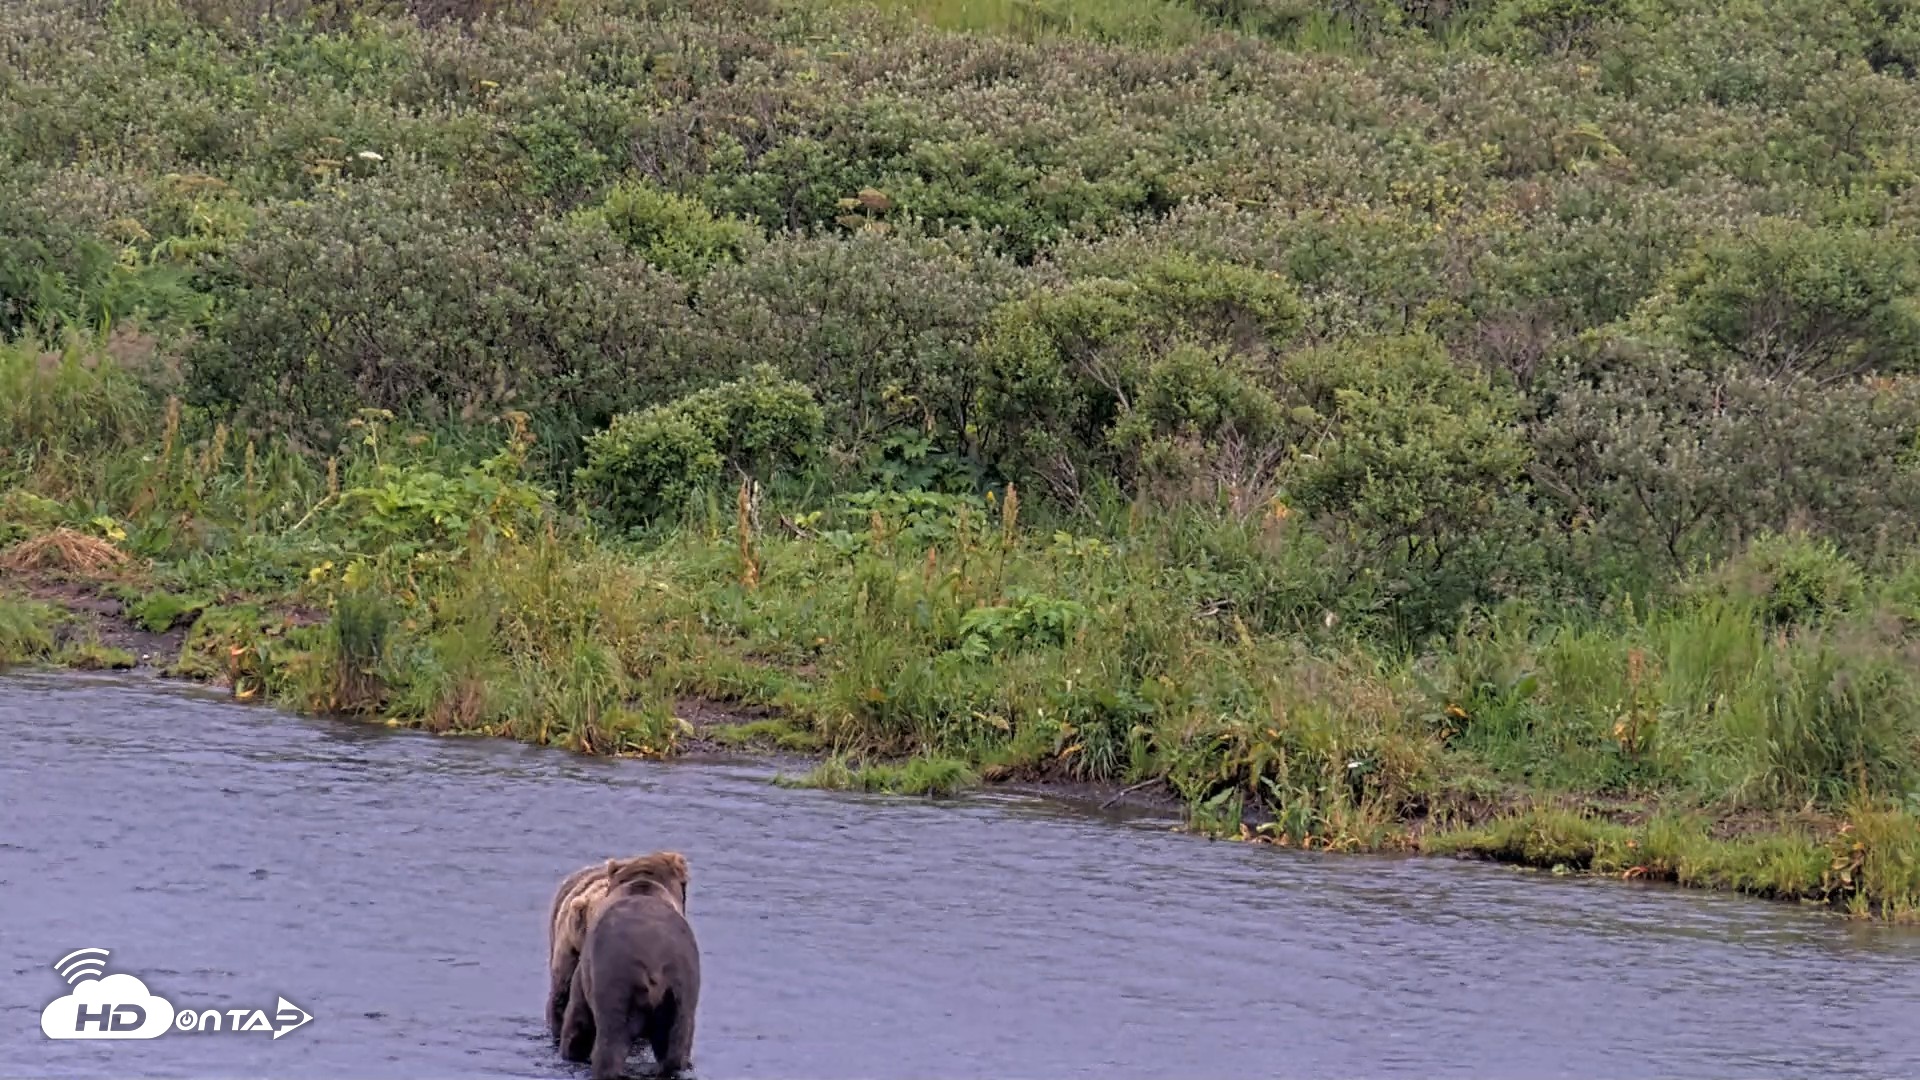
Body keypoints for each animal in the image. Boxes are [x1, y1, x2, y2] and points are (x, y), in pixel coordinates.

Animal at [558, 851, 700, 1079]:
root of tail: (654, 966)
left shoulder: (585, 972)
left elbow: (578, 1022)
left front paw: (570, 1051)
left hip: (616, 981)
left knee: (610, 1044)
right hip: (680, 990)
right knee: (675, 1050)